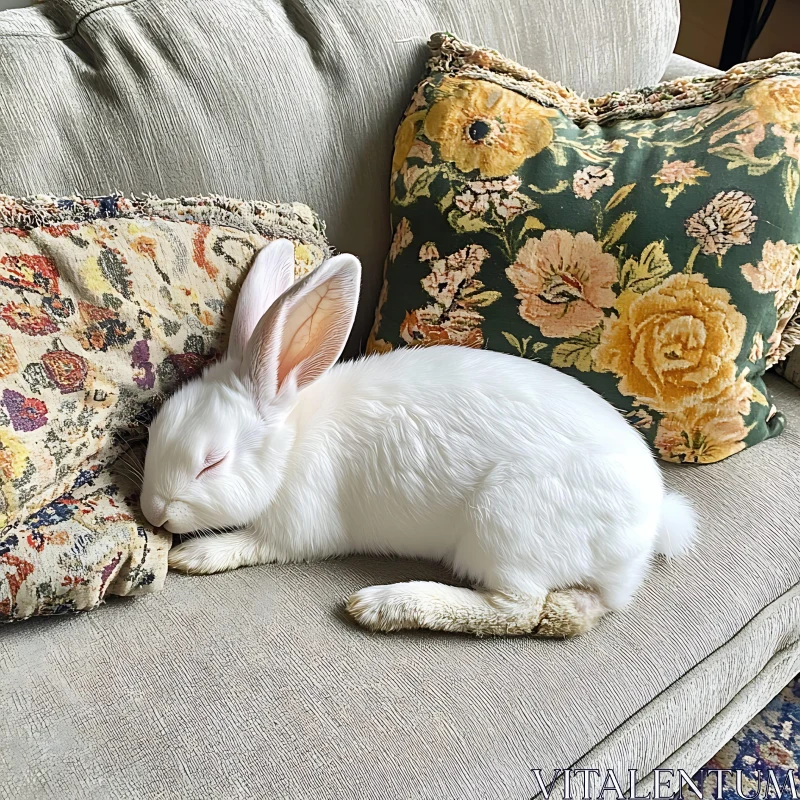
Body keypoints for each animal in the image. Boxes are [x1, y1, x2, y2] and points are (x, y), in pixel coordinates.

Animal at [141, 239, 696, 636]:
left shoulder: (295, 528)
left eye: (212, 462)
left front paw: (195, 555)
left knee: (516, 609)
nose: (153, 512)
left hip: (504, 523)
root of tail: (649, 525)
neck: (292, 441)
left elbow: (250, 543)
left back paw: (387, 605)